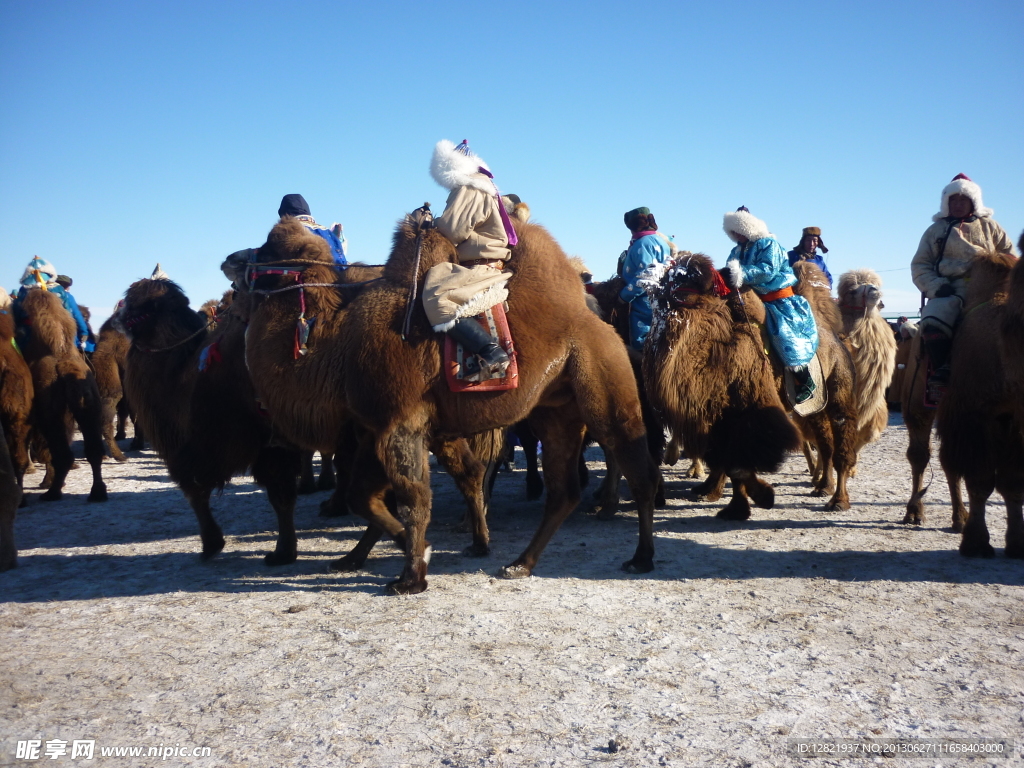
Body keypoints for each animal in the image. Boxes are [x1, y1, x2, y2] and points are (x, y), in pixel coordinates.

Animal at [16, 290, 107, 505]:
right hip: (89, 406)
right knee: (93, 450)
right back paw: (97, 493)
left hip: (50, 416)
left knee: (61, 454)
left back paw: (52, 492)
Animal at [119, 278, 301, 565]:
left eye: (134, 303)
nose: (117, 316)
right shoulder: (272, 444)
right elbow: (280, 494)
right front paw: (284, 551)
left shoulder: (203, 445)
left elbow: (195, 491)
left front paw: (211, 544)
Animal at [237, 210, 655, 593]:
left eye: (269, 249)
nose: (232, 261)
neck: (335, 349)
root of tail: (595, 318)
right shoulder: (376, 428)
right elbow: (364, 497)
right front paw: (382, 555)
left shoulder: (400, 424)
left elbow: (413, 500)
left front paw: (411, 575)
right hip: (555, 411)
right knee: (563, 490)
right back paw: (519, 564)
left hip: (604, 387)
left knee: (635, 468)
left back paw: (640, 557)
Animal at [937, 252, 1024, 561]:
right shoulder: (973, 416)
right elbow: (980, 481)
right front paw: (975, 543)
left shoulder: (1015, 422)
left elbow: (1013, 483)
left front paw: (1017, 544)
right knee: (949, 465)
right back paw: (958, 520)